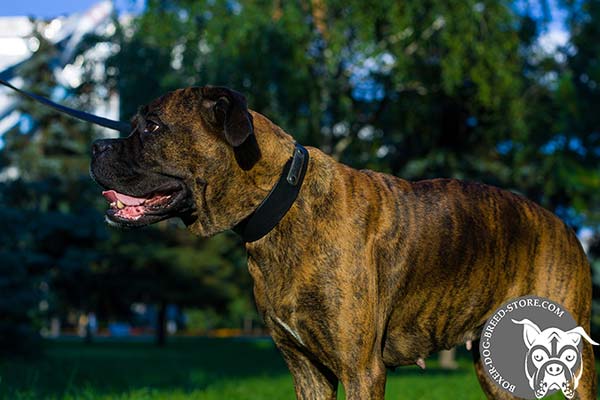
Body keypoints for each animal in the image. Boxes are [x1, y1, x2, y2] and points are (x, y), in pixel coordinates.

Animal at [89, 87, 596, 400]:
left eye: (152, 127)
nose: (96, 146)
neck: (283, 204)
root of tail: (564, 225)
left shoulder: (360, 370)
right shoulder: (307, 370)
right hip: (496, 372)